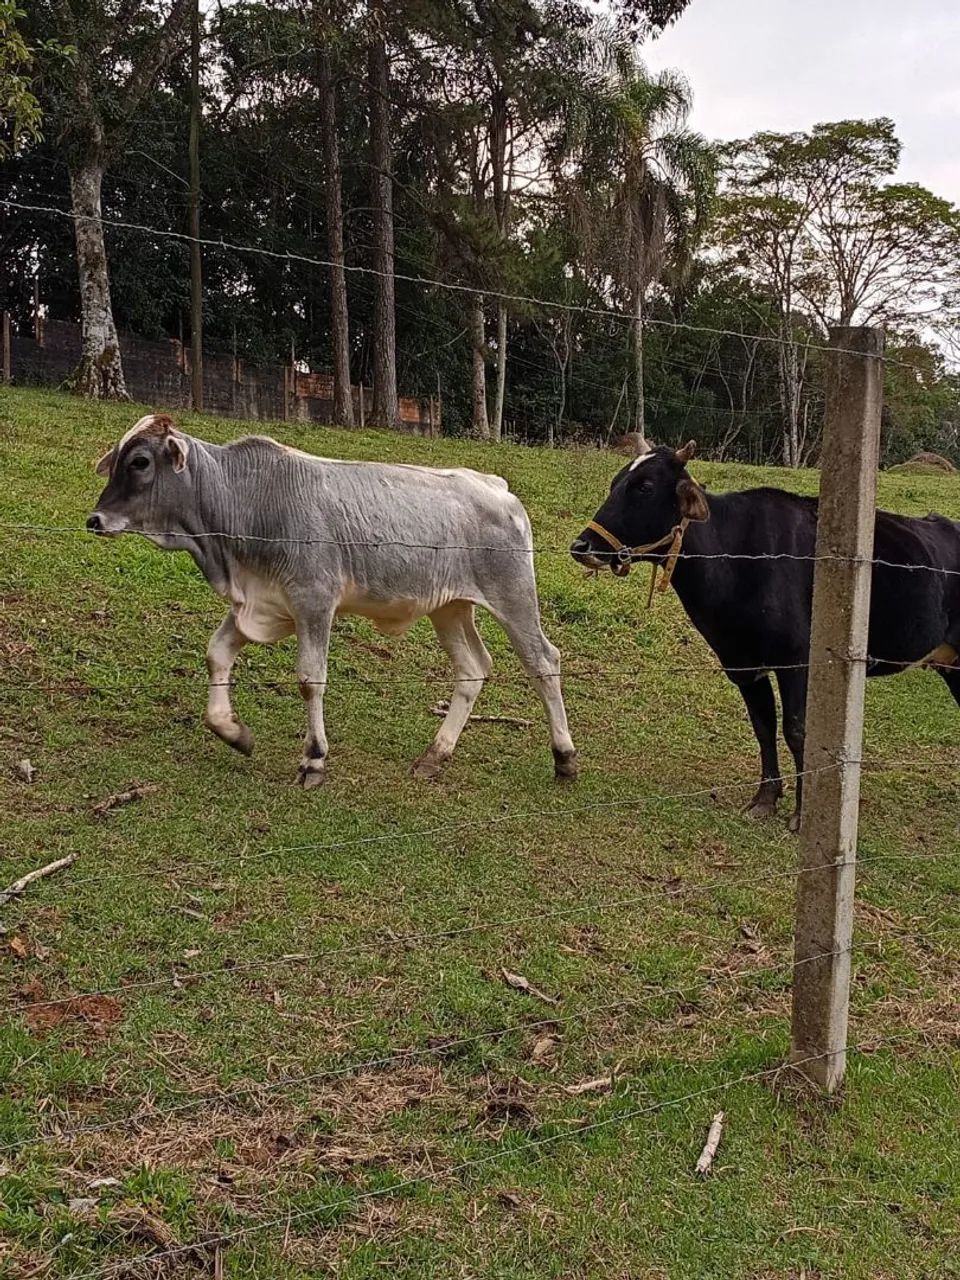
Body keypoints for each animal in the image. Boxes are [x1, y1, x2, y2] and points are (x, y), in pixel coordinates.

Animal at [87, 415, 577, 786]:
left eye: (140, 461)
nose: (95, 519)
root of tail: (494, 483)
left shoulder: (314, 601)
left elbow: (310, 679)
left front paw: (314, 759)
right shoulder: (261, 604)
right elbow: (216, 654)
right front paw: (233, 732)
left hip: (513, 596)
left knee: (543, 661)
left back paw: (564, 756)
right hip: (449, 607)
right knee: (473, 668)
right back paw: (435, 755)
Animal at [571, 440, 960, 827]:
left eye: (645, 487)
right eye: (616, 482)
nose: (582, 546)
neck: (736, 560)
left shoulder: (797, 662)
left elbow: (797, 730)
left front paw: (802, 814)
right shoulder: (742, 664)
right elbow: (763, 727)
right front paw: (765, 798)